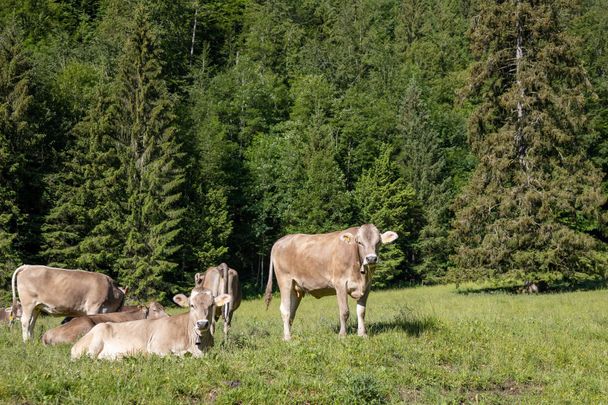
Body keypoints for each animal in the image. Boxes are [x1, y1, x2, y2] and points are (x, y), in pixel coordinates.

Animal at [70, 274, 230, 358]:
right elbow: (174, 355)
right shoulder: (157, 346)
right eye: (192, 305)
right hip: (93, 344)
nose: (202, 323)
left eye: (212, 305)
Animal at [264, 223, 396, 340]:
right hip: (284, 280)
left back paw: (286, 335)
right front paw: (342, 335)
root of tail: (280, 241)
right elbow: (344, 311)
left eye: (378, 242)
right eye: (359, 242)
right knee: (285, 310)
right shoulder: (340, 283)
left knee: (292, 312)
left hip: (295, 287)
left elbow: (361, 311)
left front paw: (362, 334)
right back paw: (287, 337)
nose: (371, 258)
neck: (361, 275)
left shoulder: (367, 286)